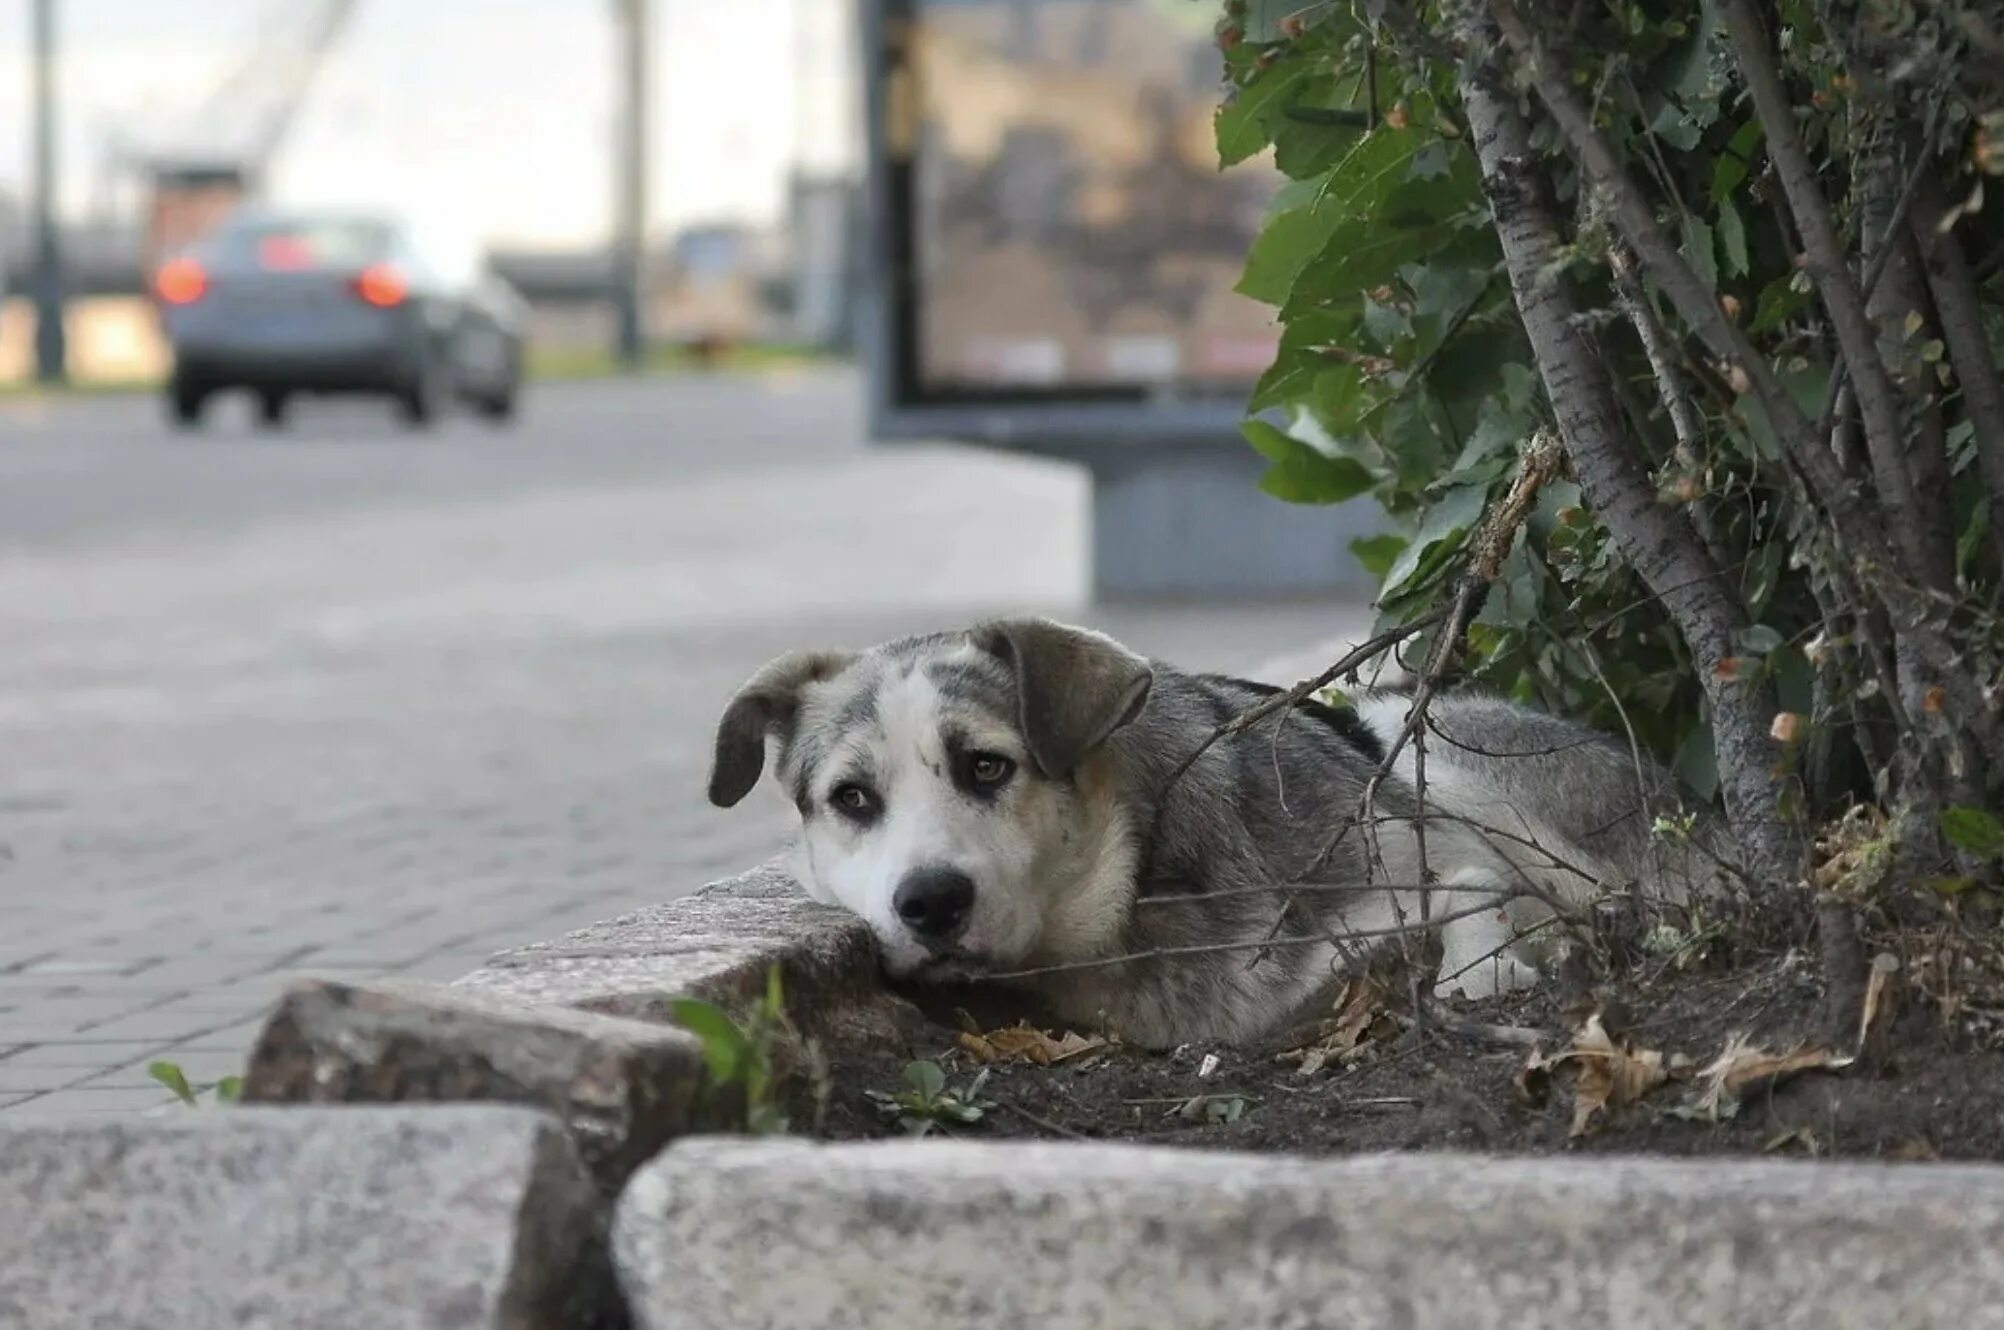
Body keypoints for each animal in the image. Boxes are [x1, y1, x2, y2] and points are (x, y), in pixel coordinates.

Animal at [705, 616, 1723, 1049]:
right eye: (852, 798)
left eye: (987, 767)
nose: (929, 904)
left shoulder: (1417, 861)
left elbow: (1474, 901)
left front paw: (1499, 965)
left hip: (1430, 743)